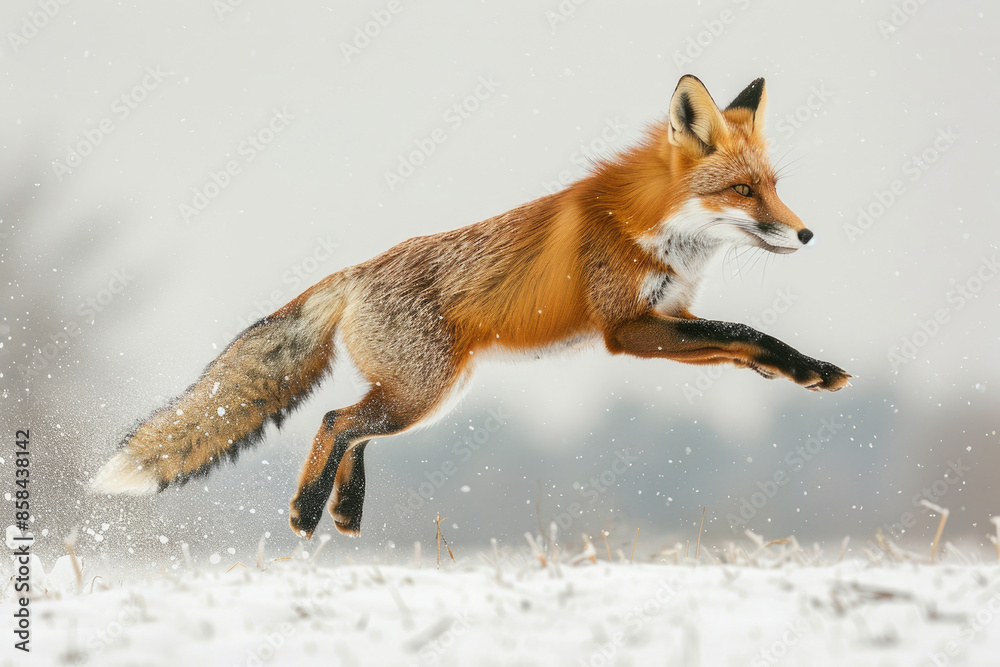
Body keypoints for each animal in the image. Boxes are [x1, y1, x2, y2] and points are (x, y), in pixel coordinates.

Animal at [92, 75, 851, 539]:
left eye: (773, 185)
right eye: (743, 190)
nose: (809, 233)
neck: (653, 228)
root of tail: (354, 273)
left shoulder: (669, 319)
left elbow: (743, 339)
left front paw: (796, 370)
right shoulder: (627, 328)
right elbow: (742, 327)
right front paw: (805, 369)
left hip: (431, 394)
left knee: (350, 425)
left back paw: (345, 509)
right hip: (424, 394)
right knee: (337, 420)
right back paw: (308, 509)